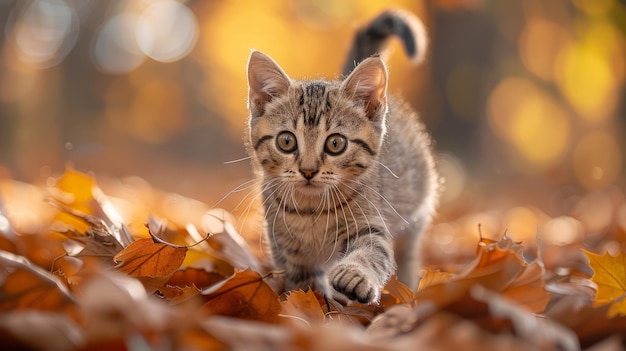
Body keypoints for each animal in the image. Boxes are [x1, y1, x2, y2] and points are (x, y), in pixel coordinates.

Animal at [243, 9, 434, 304]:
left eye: (335, 143)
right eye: (286, 141)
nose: (308, 170)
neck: (311, 212)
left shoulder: (369, 223)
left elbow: (373, 252)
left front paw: (355, 276)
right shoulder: (284, 246)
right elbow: (304, 284)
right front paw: (309, 303)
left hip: (416, 213)